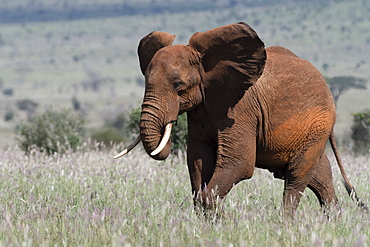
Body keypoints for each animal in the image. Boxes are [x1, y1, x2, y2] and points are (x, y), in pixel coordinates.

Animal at [115, 22, 364, 215]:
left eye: (178, 85)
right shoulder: (201, 109)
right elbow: (197, 160)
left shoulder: (240, 109)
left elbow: (239, 162)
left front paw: (219, 222)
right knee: (319, 175)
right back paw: (333, 221)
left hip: (319, 122)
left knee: (297, 175)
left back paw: (284, 224)